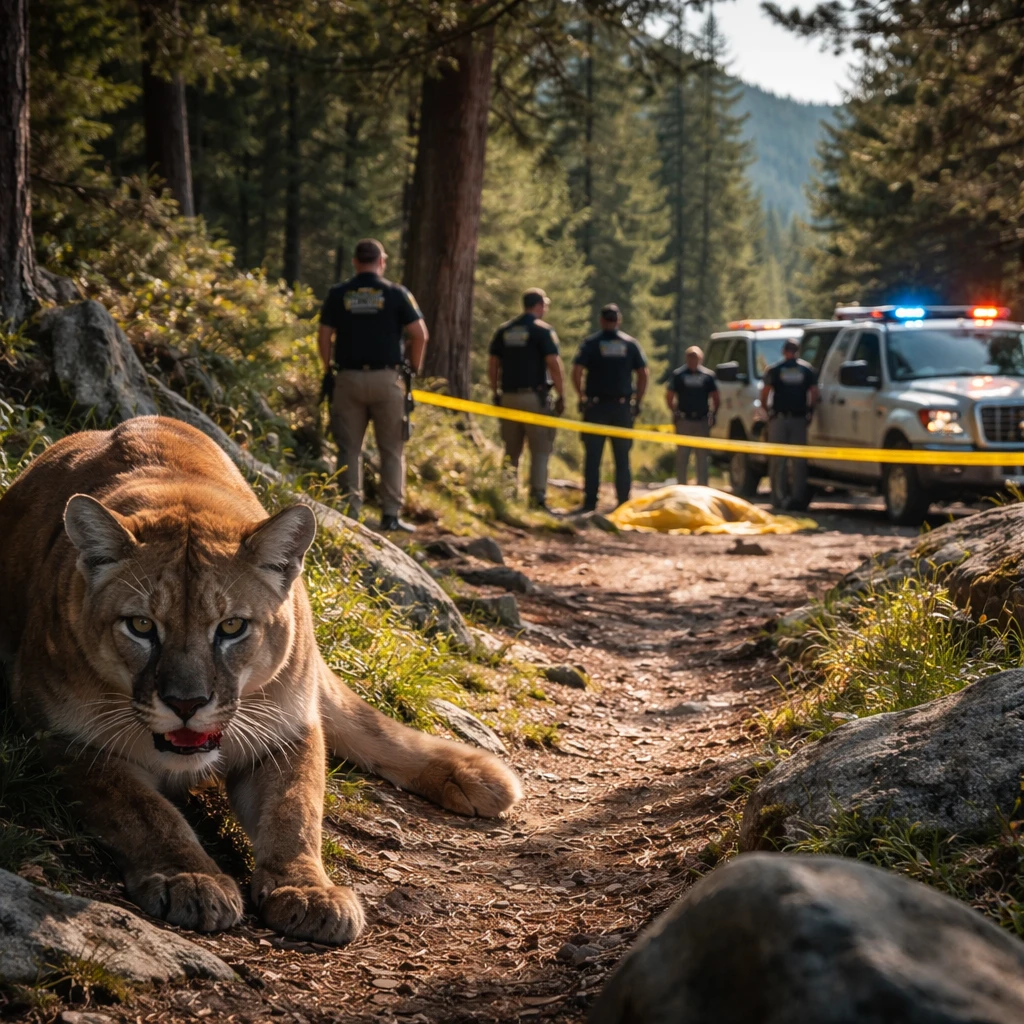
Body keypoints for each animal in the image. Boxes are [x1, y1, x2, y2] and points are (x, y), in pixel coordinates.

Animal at [0, 416, 522, 944]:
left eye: (232, 627)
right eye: (141, 626)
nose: (186, 704)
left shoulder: (288, 730)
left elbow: (294, 810)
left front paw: (308, 892)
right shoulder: (66, 740)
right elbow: (144, 812)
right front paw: (192, 879)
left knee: (362, 723)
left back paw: (479, 777)